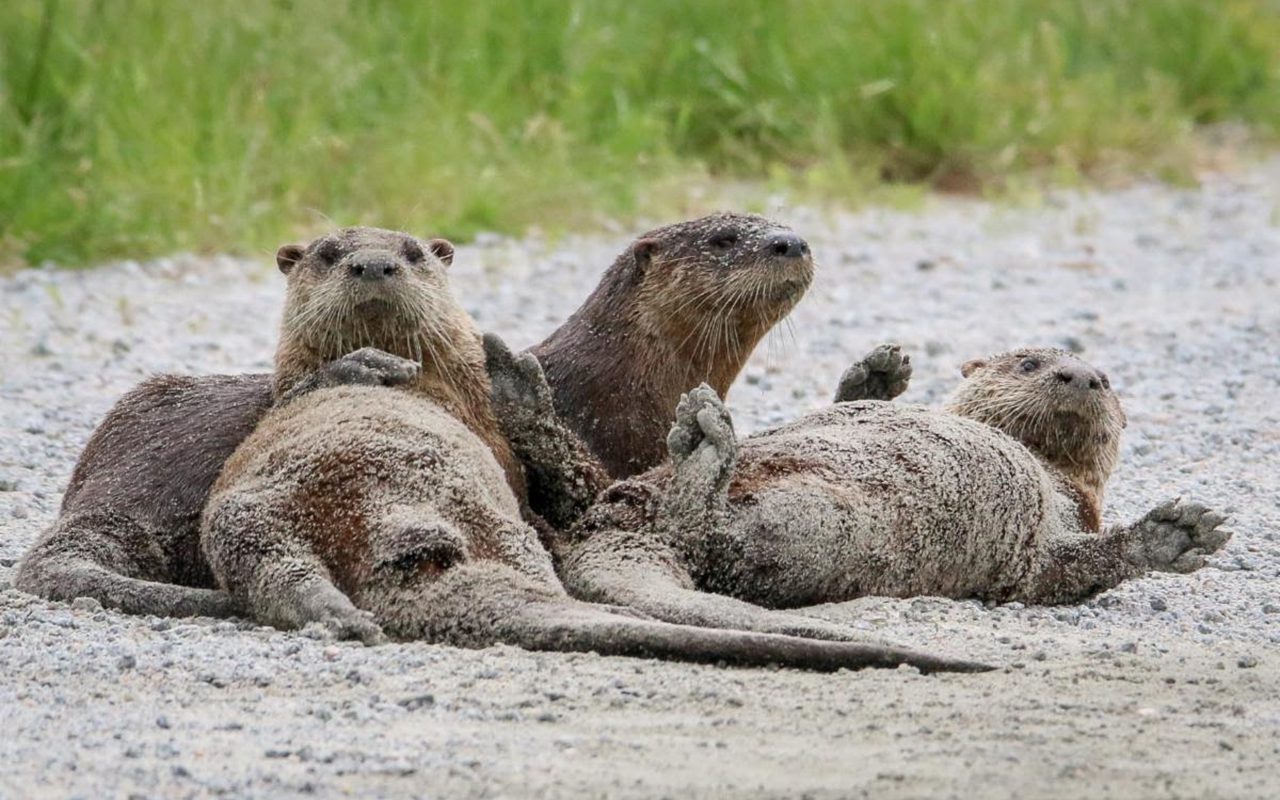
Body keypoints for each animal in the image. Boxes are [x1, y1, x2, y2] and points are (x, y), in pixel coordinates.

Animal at [481, 345, 1228, 632]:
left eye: (1109, 379)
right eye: (1030, 362)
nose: (1084, 377)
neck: (1049, 472)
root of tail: (622, 530)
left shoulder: (1053, 538)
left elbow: (1071, 570)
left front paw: (1174, 534)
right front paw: (876, 372)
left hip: (818, 527)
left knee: (701, 531)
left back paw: (705, 440)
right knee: (582, 491)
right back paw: (522, 390)